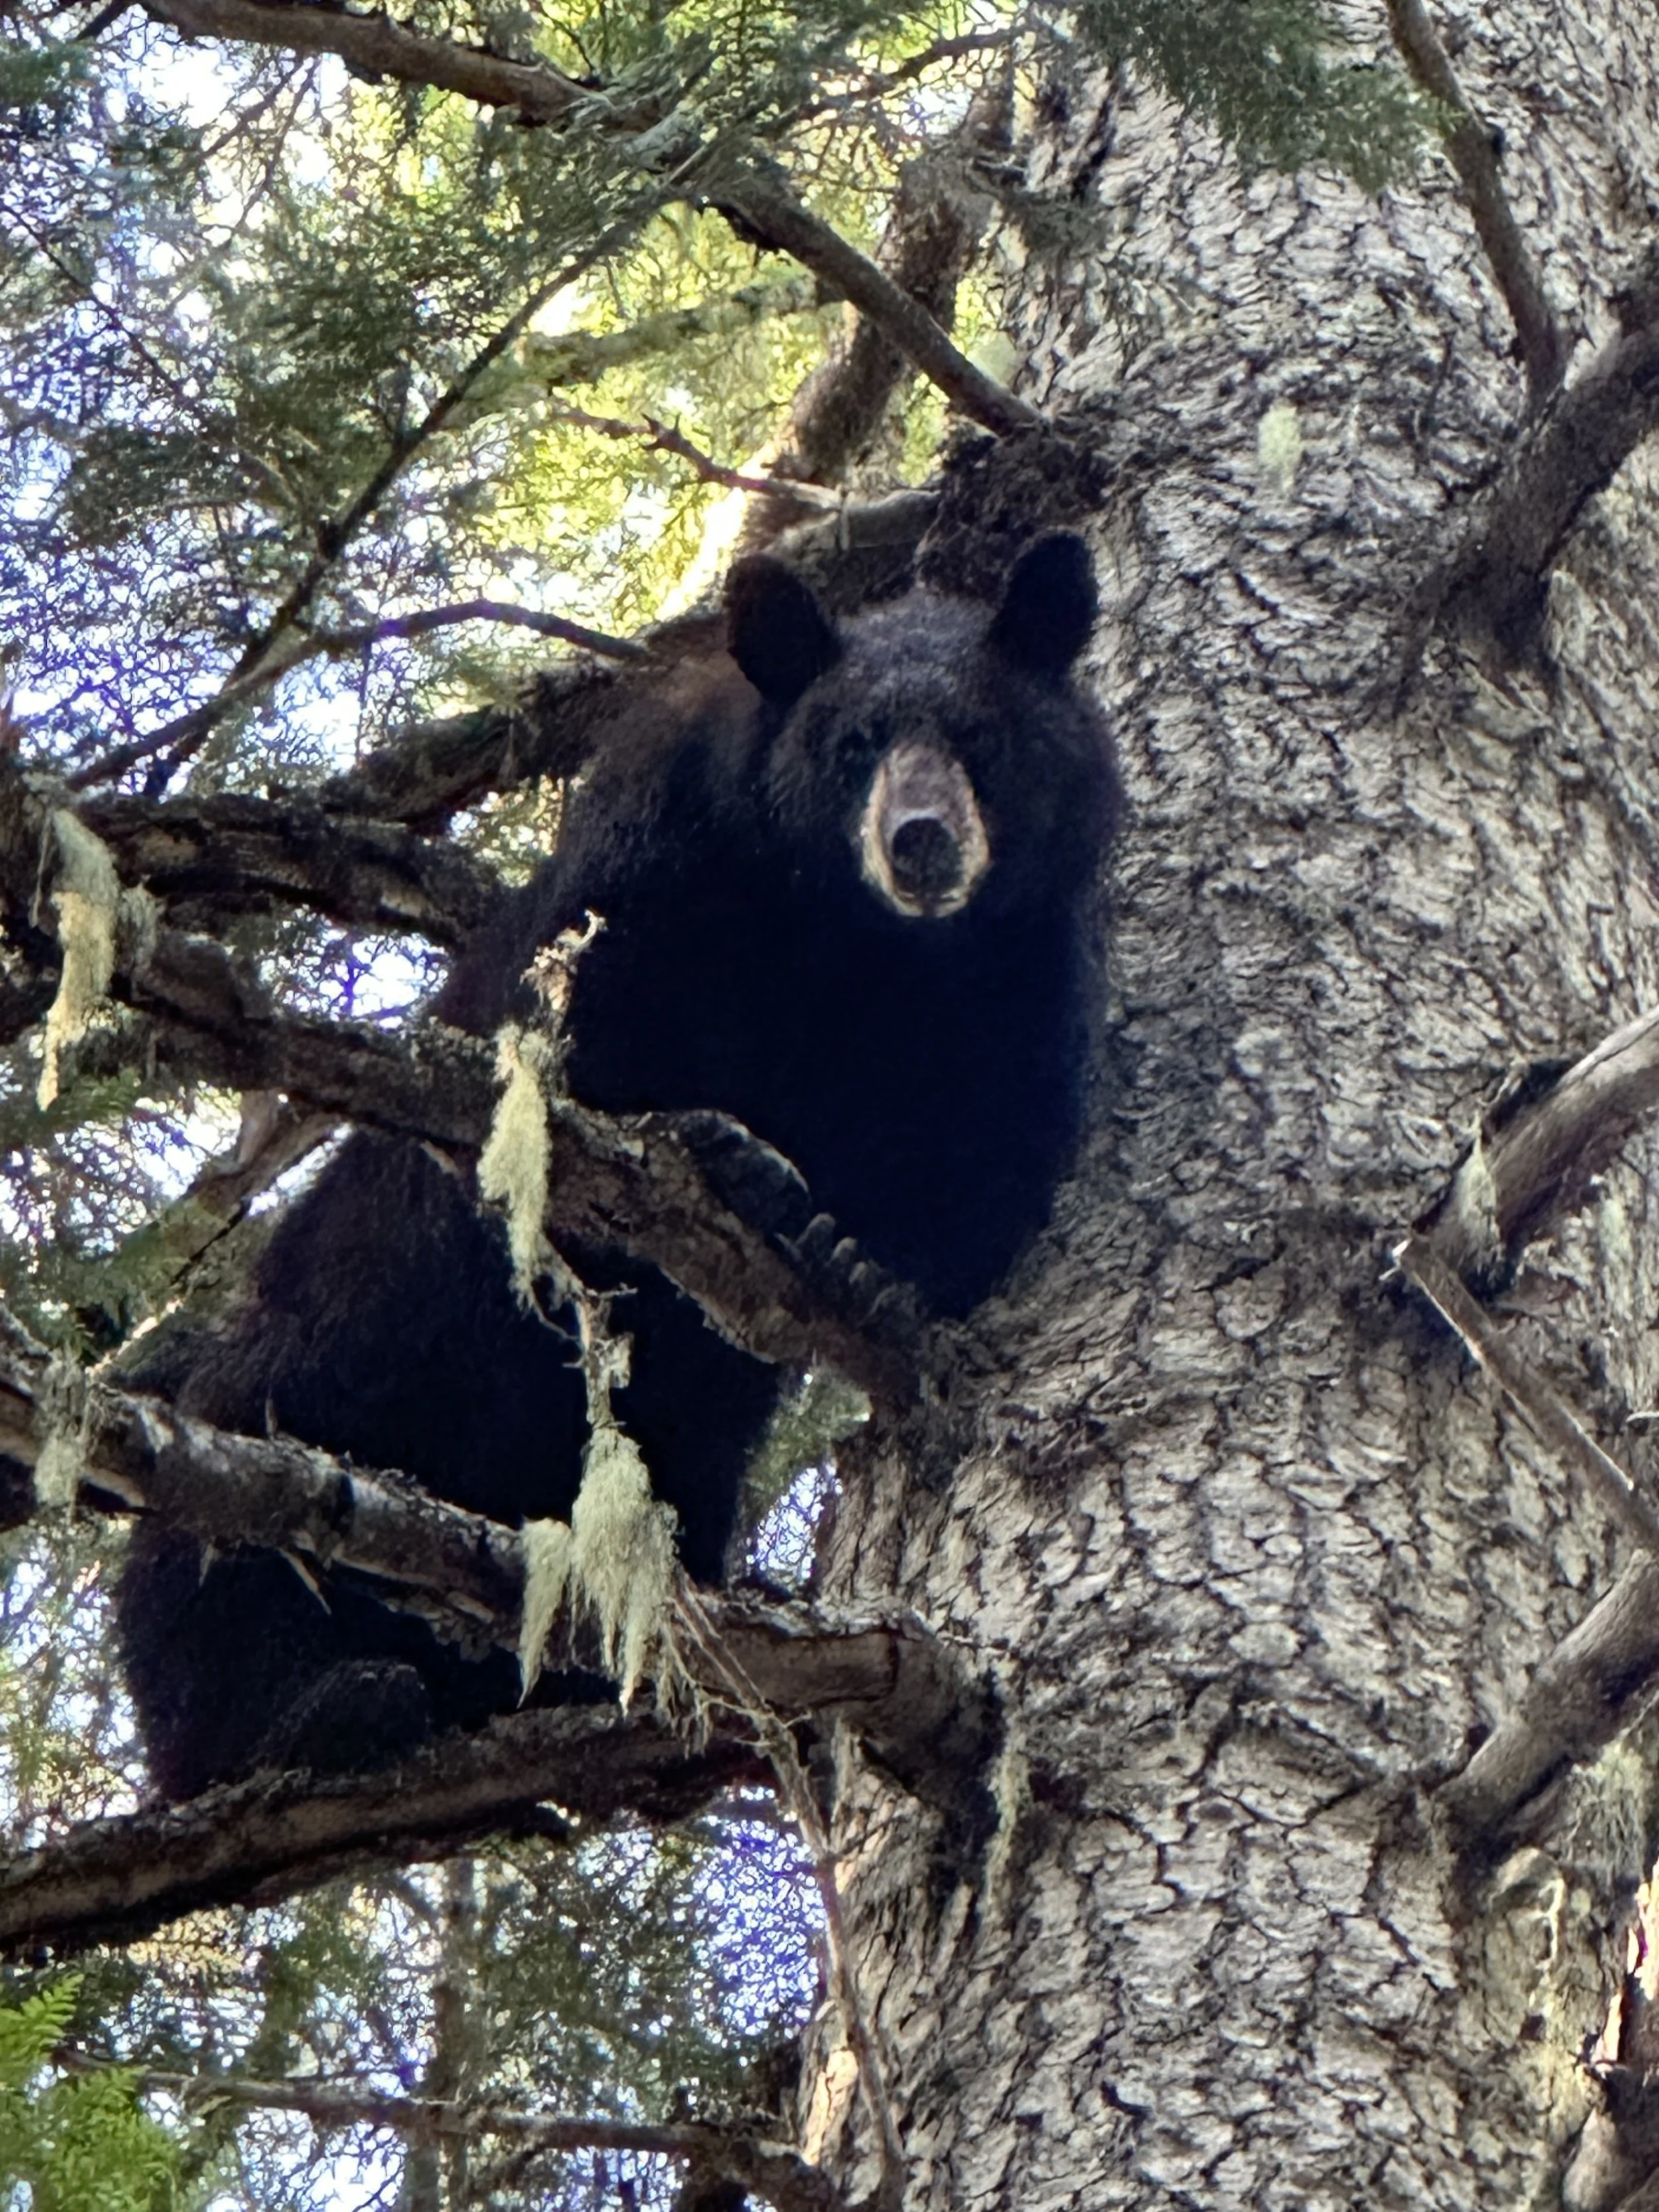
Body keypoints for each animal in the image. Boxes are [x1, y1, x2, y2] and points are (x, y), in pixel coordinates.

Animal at [114, 531, 1119, 1801]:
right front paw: (740, 1155)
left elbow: (992, 1151)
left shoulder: (1019, 967)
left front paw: (860, 1258)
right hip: (319, 1368)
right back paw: (310, 1704)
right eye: (851, 744)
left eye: (983, 739)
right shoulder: (661, 866)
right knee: (213, 1546)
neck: (867, 946)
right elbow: (583, 1055)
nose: (921, 842)